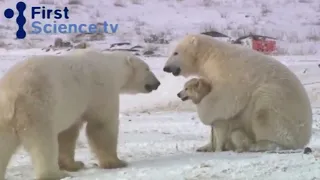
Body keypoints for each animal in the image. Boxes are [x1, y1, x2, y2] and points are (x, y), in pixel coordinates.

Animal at [0, 50, 161, 180]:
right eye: (147, 68)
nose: (158, 83)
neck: (110, 66)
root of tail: (10, 95)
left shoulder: (74, 107)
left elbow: (68, 133)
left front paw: (74, 164)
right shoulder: (101, 90)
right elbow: (101, 125)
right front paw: (117, 162)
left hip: (5, 119)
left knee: (4, 143)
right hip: (36, 108)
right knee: (43, 142)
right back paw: (55, 174)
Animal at [164, 33, 314, 152]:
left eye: (175, 52)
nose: (166, 68)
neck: (211, 54)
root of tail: (305, 136)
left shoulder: (228, 72)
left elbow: (226, 97)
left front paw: (204, 111)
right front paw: (204, 146)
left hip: (282, 105)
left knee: (265, 111)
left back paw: (262, 144)